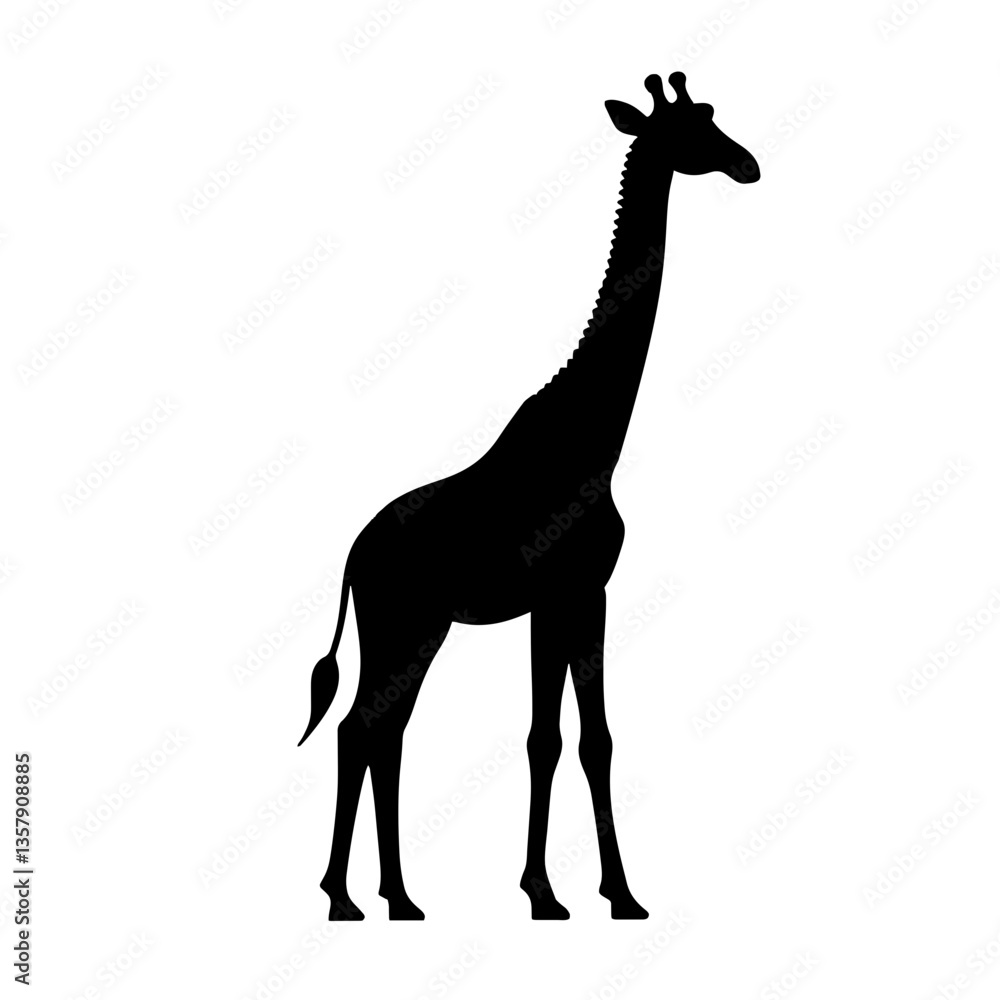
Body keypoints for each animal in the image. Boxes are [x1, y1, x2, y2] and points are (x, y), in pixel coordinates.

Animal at [298, 71, 759, 921]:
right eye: (689, 131)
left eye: (712, 117)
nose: (748, 164)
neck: (595, 439)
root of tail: (351, 558)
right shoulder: (564, 592)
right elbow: (551, 738)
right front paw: (549, 894)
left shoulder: (582, 593)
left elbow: (586, 738)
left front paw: (613, 893)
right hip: (399, 625)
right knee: (359, 730)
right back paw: (345, 897)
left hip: (419, 630)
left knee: (383, 732)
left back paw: (397, 896)